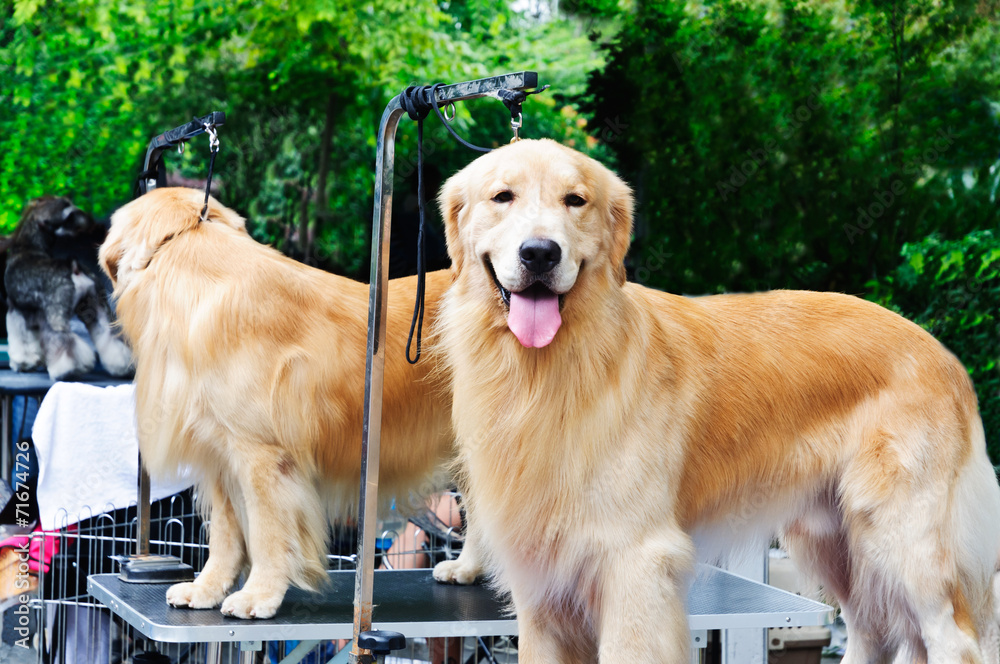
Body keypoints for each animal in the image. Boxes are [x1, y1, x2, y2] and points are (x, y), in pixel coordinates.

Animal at [3, 196, 133, 378]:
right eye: (67, 214)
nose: (89, 222)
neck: (29, 248)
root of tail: (75, 268)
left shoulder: (16, 310)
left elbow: (20, 340)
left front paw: (23, 363)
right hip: (97, 308)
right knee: (111, 336)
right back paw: (123, 366)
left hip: (56, 317)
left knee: (64, 340)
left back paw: (69, 370)